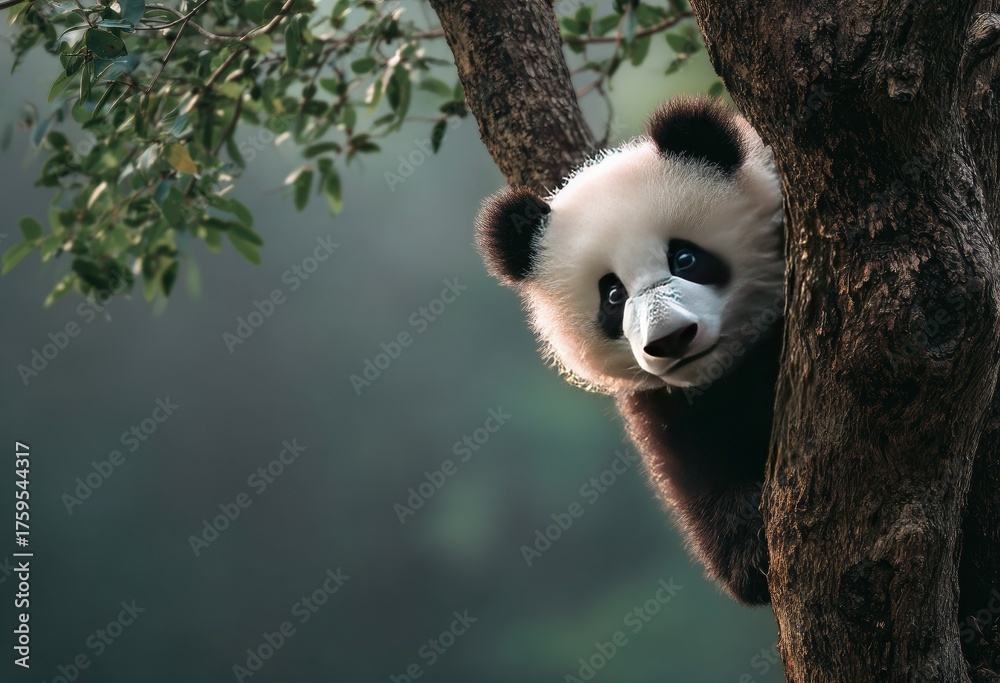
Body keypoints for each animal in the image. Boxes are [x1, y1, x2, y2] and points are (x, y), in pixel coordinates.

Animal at [475, 97, 785, 605]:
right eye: (614, 295)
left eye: (684, 258)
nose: (670, 339)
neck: (724, 370)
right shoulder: (665, 404)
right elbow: (698, 473)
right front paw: (747, 553)